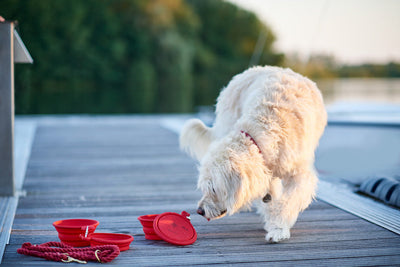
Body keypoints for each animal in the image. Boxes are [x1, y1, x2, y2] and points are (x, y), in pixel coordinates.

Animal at [180, 65, 326, 243]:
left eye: (214, 189)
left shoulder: (300, 174)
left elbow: (288, 202)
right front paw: (272, 221)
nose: (199, 210)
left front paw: (278, 228)